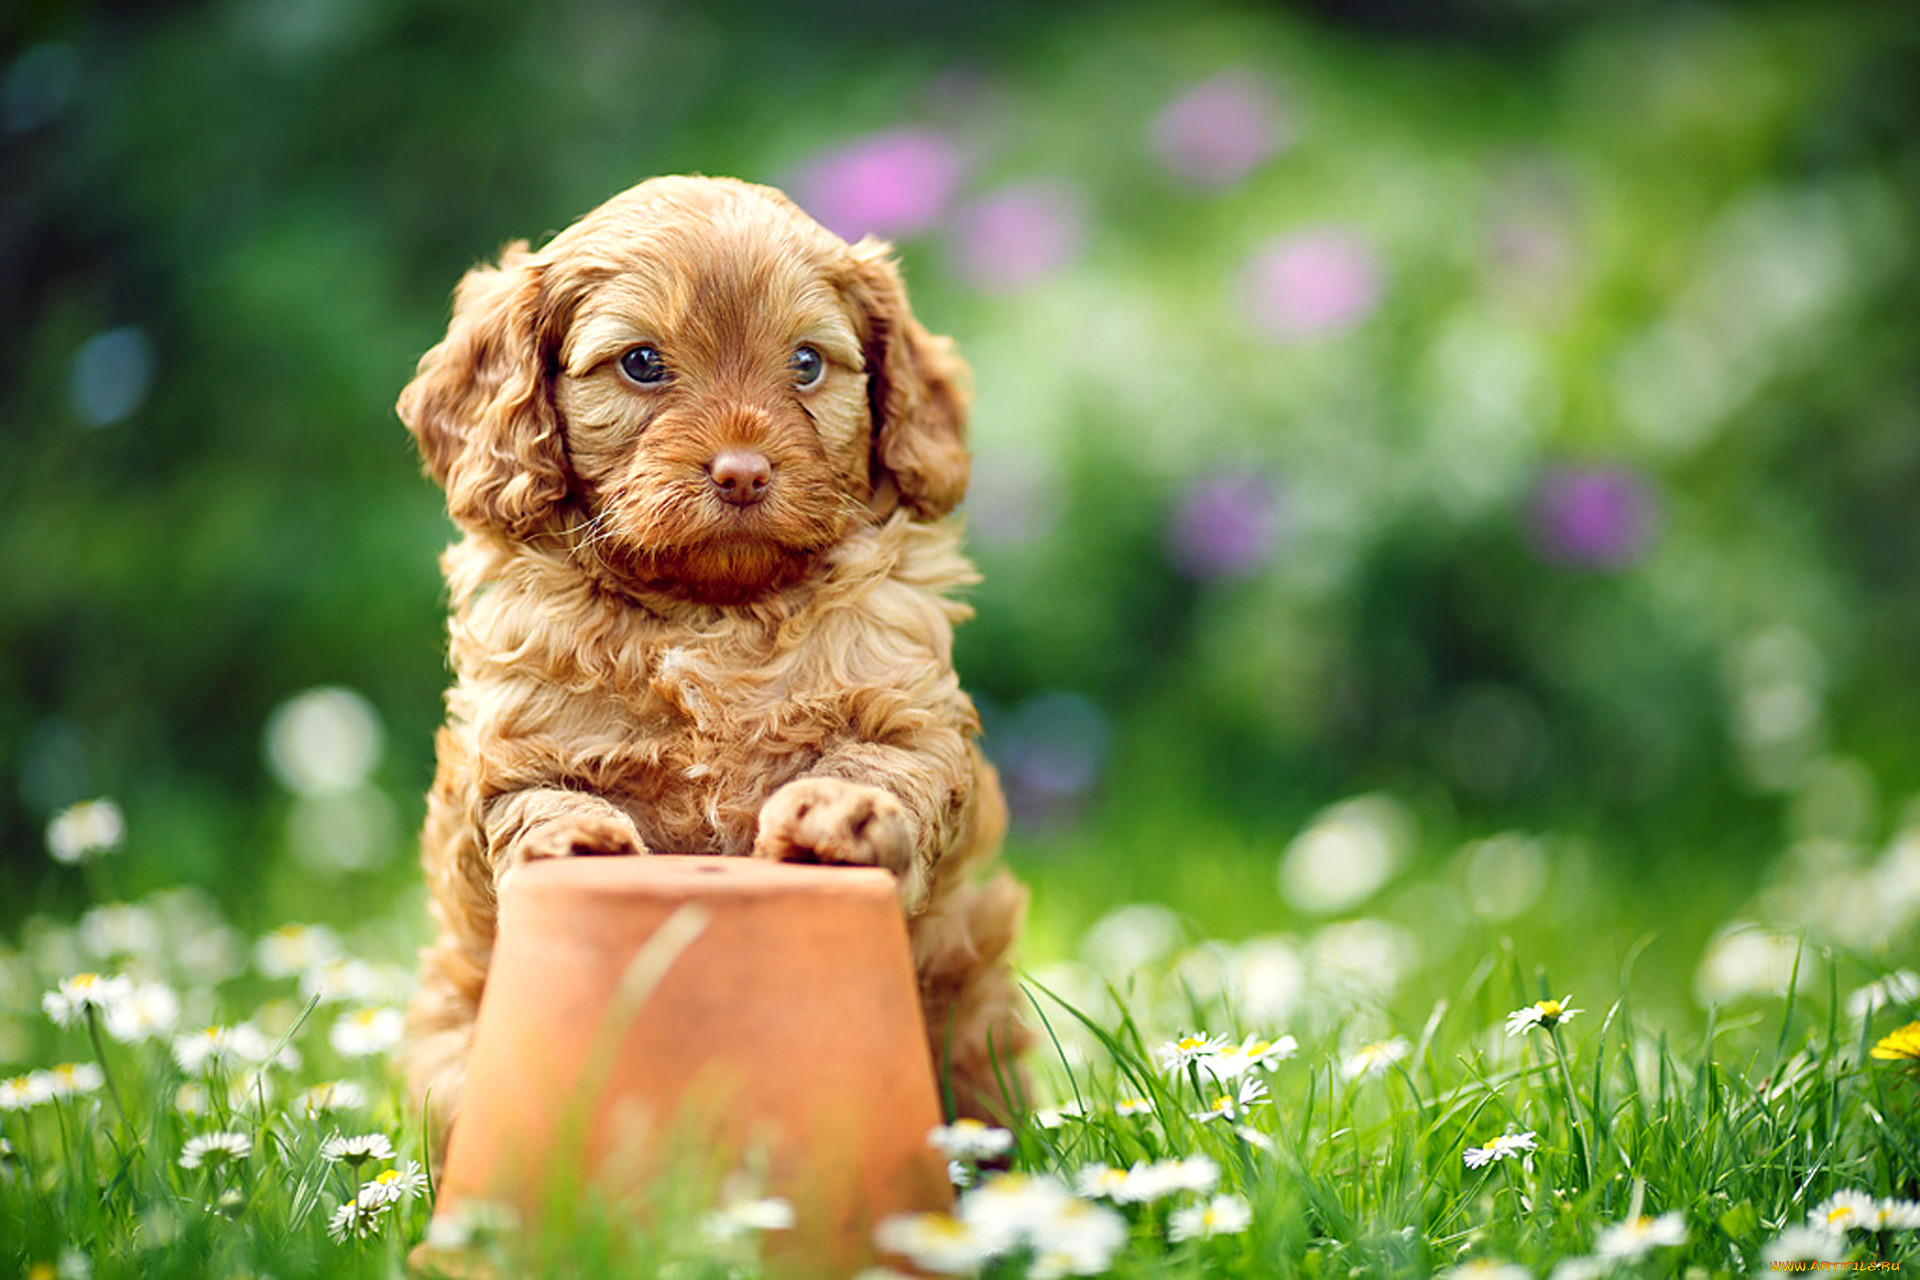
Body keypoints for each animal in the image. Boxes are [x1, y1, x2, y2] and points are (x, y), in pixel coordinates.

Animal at [395, 172, 1029, 1151]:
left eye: (806, 363)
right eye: (641, 364)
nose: (742, 473)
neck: (714, 616)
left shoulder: (910, 710)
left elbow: (885, 766)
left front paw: (840, 811)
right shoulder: (513, 746)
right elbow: (527, 801)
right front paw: (566, 838)